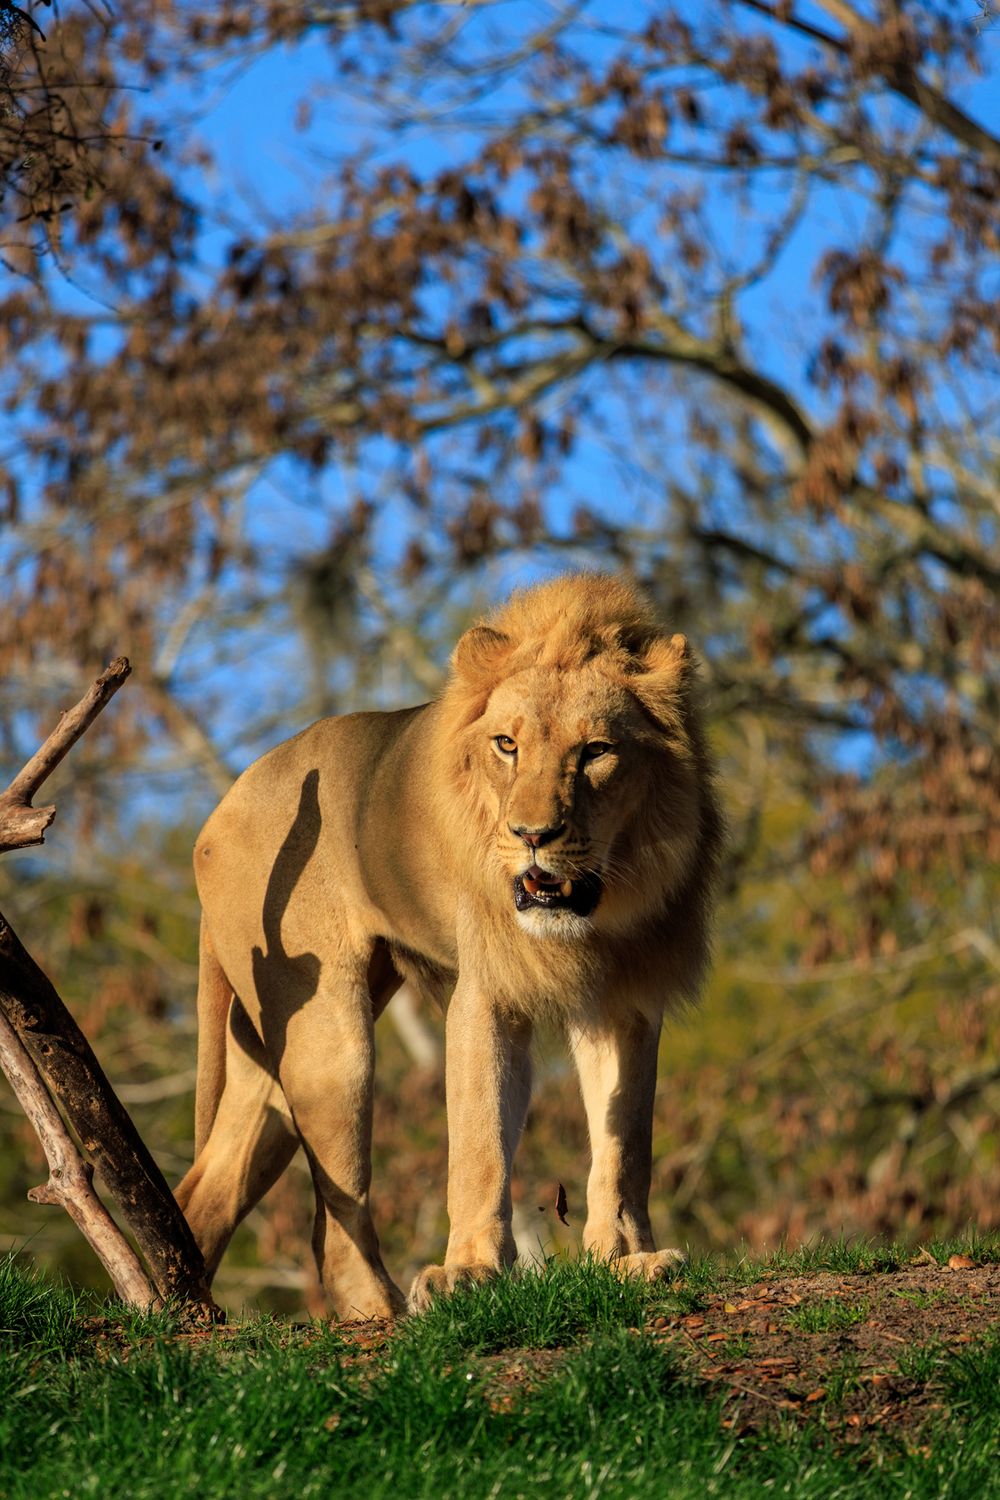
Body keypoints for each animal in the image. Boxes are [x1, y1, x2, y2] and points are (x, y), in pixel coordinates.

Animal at [175, 572, 723, 1318]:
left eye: (596, 752)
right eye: (507, 745)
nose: (532, 835)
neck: (596, 917)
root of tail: (221, 809)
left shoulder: (625, 1002)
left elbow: (624, 1145)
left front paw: (624, 1261)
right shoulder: (486, 995)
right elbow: (480, 1139)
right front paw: (469, 1272)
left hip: (266, 1048)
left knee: (208, 1188)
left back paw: (175, 1313)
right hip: (329, 1038)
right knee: (333, 1221)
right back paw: (384, 1312)